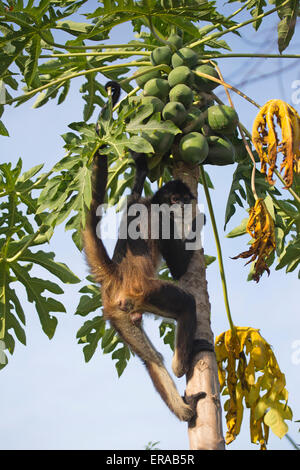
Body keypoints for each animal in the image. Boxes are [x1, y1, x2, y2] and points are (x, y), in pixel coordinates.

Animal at [83, 81, 203, 422]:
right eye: (176, 200)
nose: (183, 206)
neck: (154, 204)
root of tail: (115, 276)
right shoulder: (163, 218)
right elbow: (178, 267)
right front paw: (198, 220)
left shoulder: (138, 201)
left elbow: (134, 189)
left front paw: (140, 164)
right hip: (145, 291)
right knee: (186, 304)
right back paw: (180, 366)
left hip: (119, 314)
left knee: (151, 359)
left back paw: (183, 408)